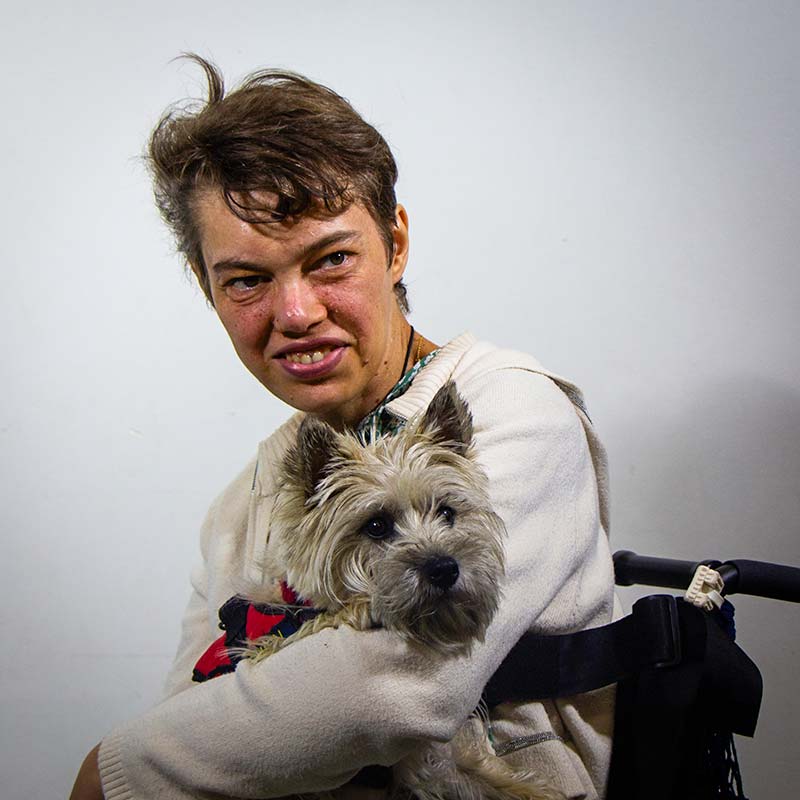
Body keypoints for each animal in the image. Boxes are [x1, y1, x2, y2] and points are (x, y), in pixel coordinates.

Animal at [248, 382, 556, 800]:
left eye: (447, 512)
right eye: (376, 525)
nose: (444, 569)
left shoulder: (438, 764)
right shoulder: (266, 644)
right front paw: (363, 608)